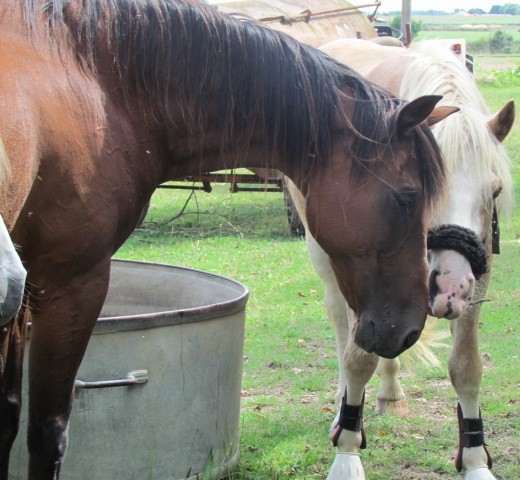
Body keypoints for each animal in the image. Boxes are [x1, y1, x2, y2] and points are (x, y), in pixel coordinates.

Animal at [0, 1, 456, 478]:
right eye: (406, 199)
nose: (412, 329)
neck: (100, 86)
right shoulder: (71, 281)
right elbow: (47, 433)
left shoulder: (26, 290)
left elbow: (8, 419)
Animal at [288, 39, 516, 478]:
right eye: (427, 189)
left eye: (494, 192)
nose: (449, 286)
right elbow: (357, 358)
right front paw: (347, 451)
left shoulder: (477, 276)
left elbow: (466, 366)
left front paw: (476, 460)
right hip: (326, 259)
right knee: (340, 323)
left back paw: (391, 394)